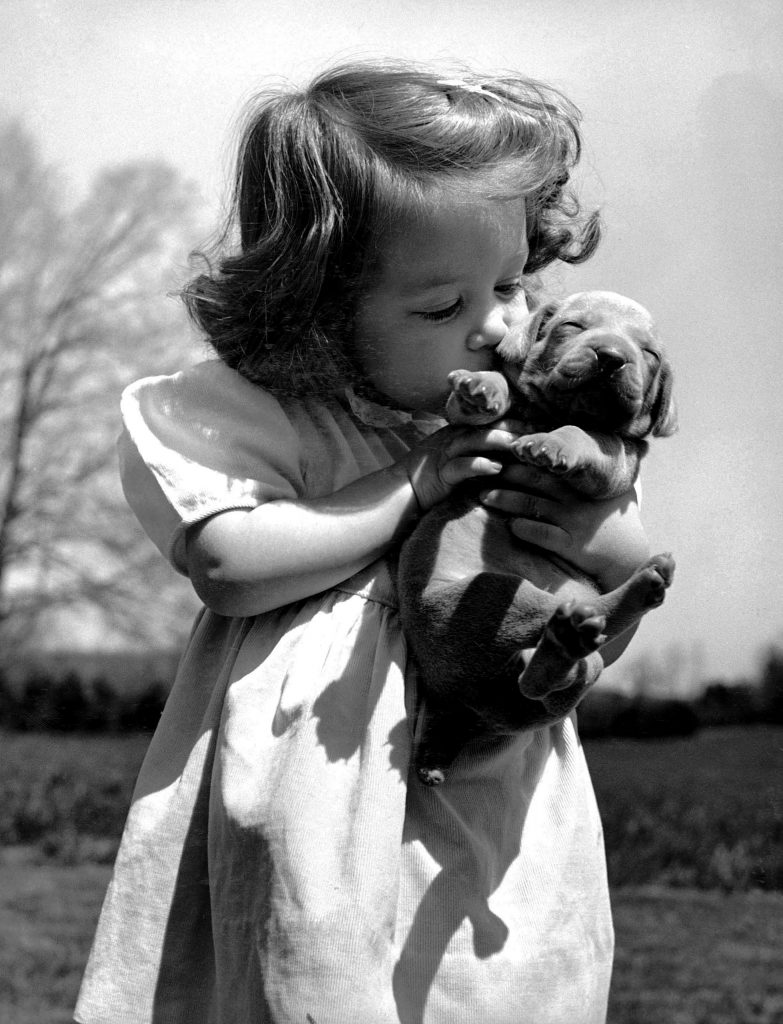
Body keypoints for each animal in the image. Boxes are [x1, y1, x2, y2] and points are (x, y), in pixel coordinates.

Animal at [397, 288, 679, 782]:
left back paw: (615, 604)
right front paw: (480, 387)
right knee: (555, 677)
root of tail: (466, 706)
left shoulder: (617, 457)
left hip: (497, 600)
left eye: (648, 355)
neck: (549, 411)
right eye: (572, 327)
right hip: (487, 611)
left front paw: (554, 444)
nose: (612, 357)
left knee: (559, 672)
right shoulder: (468, 426)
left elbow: (584, 435)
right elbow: (479, 399)